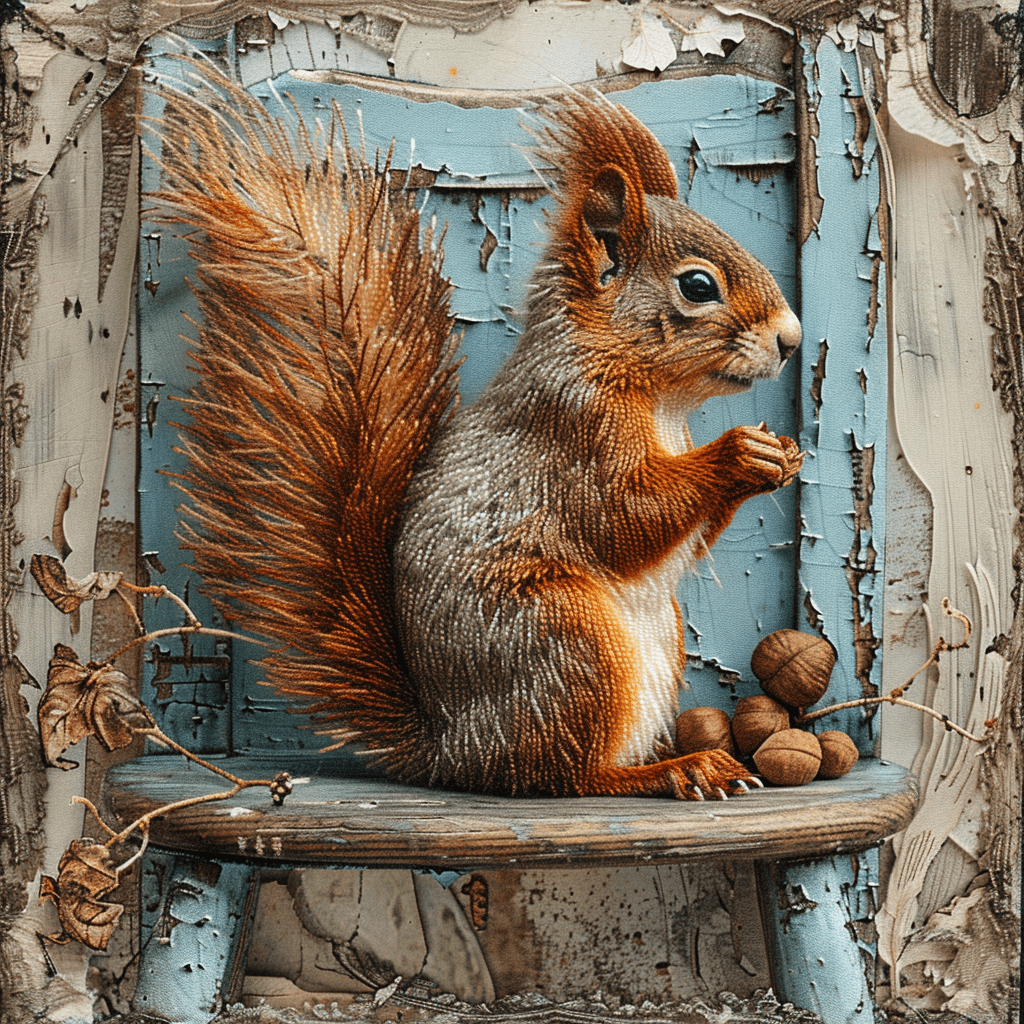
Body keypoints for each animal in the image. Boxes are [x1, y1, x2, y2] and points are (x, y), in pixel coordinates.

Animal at [149, 61, 802, 801]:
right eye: (697, 286)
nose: (791, 339)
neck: (646, 389)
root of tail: (453, 750)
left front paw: (781, 457)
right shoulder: (570, 428)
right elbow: (623, 516)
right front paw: (740, 453)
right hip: (564, 639)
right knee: (560, 776)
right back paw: (672, 770)